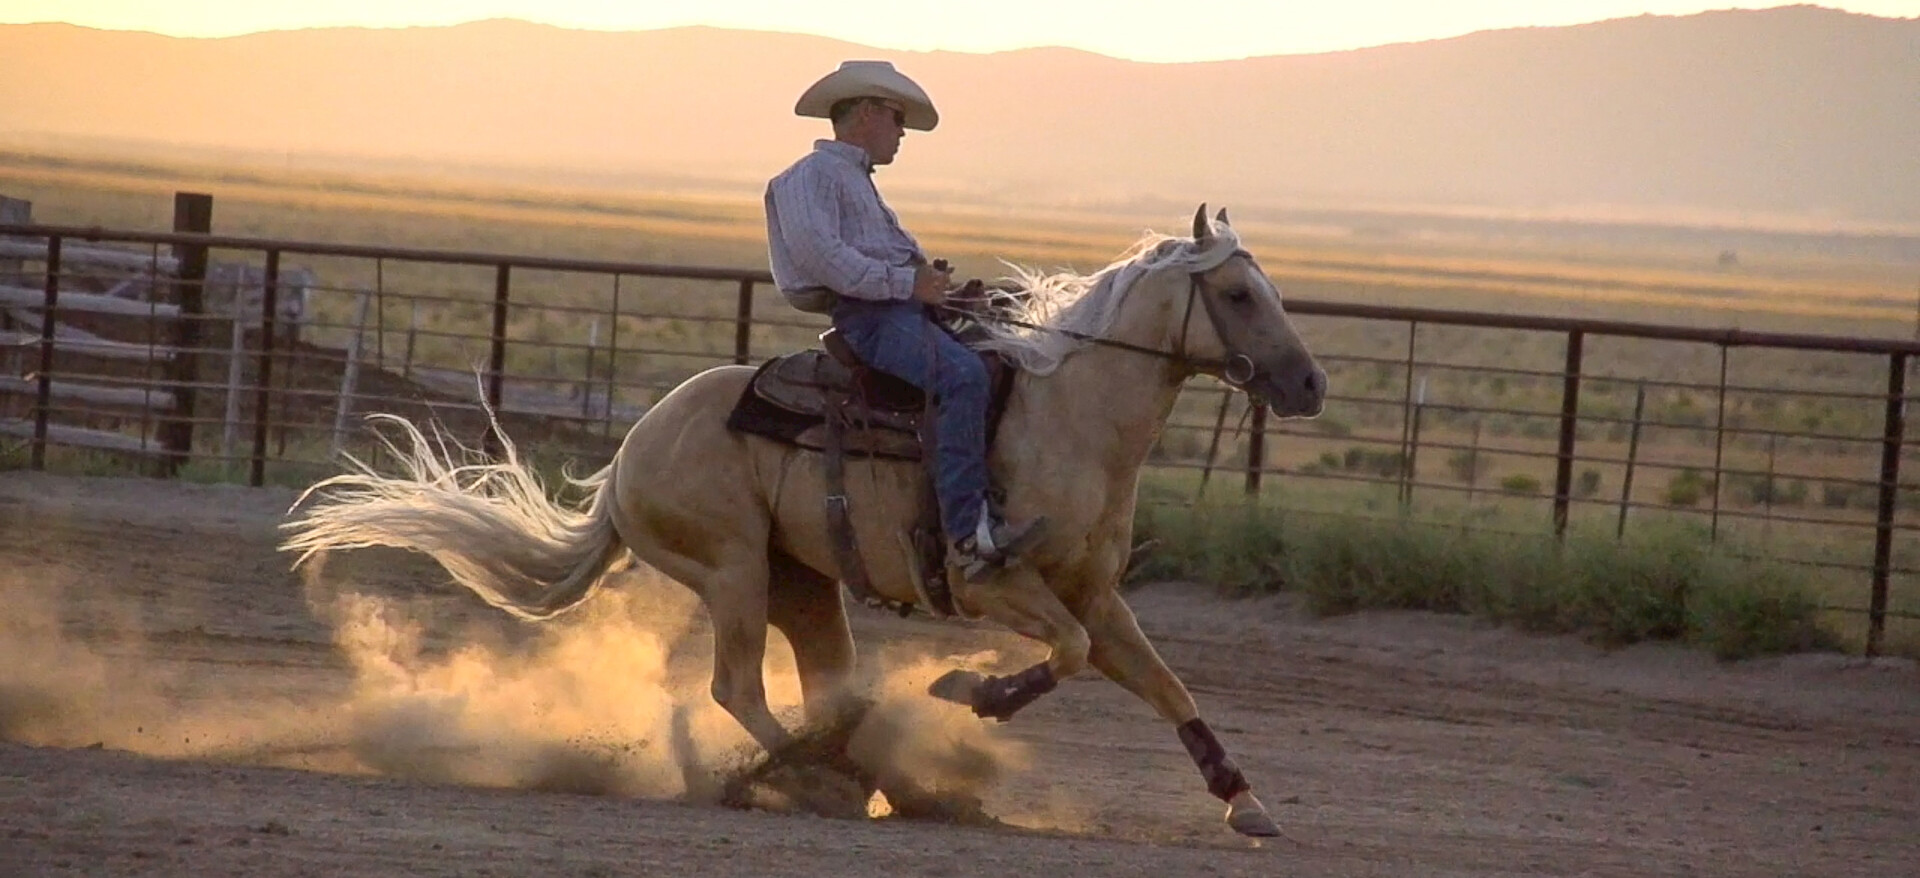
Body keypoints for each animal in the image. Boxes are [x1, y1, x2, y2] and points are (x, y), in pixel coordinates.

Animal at [281, 205, 1327, 837]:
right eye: (1239, 294)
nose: (1310, 384)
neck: (1068, 418)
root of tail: (628, 458)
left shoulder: (1100, 597)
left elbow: (1164, 684)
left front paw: (1244, 801)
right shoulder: (996, 584)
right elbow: (1062, 656)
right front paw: (969, 692)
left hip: (803, 586)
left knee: (819, 685)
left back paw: (864, 770)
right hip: (733, 571)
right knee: (736, 687)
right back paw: (817, 774)